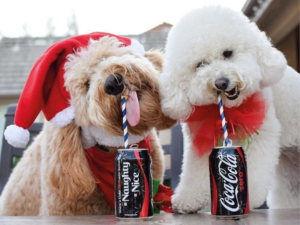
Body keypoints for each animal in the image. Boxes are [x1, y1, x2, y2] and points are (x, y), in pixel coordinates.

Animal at [159, 5, 300, 213]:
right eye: (200, 64)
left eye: (227, 53)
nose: (221, 82)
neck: (230, 109)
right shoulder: (202, 141)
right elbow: (196, 172)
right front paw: (187, 199)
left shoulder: (261, 135)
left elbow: (255, 167)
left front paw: (248, 195)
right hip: (290, 177)